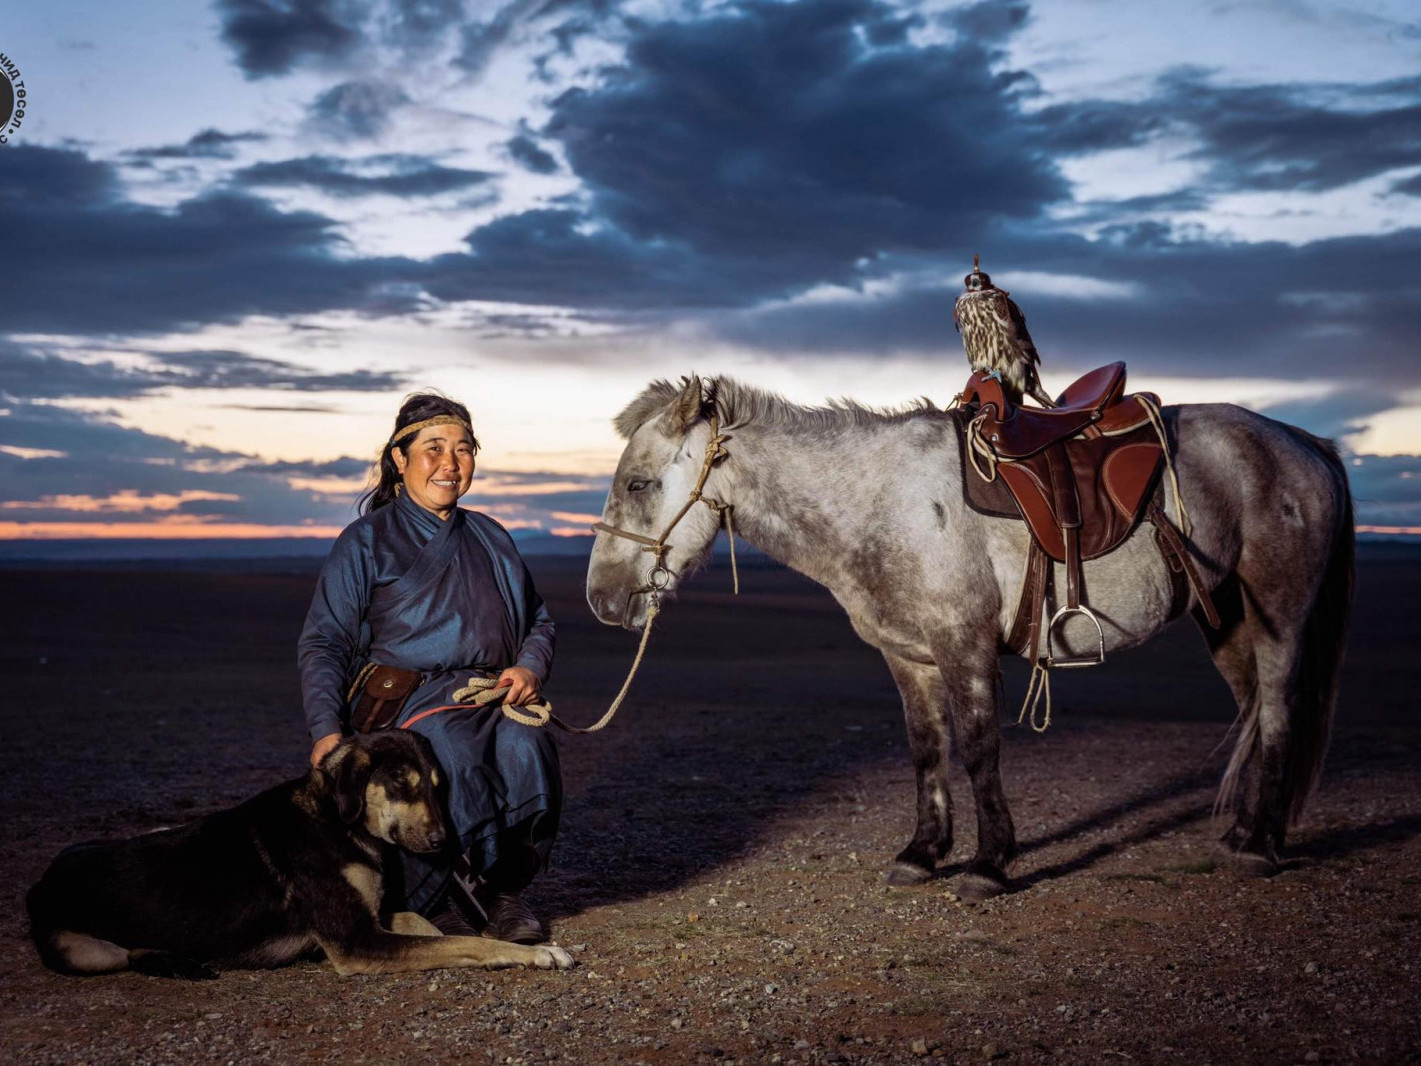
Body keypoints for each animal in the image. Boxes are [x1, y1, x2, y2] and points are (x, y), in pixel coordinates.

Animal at [26, 733, 571, 983]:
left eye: (438, 788)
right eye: (400, 784)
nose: (443, 841)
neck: (337, 821)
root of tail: (40, 882)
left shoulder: (370, 919)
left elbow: (427, 926)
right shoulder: (355, 942)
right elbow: (465, 944)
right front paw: (538, 953)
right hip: (85, 952)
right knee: (119, 955)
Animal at [585, 375, 1352, 903]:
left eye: (639, 483)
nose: (601, 599)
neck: (877, 504)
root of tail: (1303, 444)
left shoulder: (965, 648)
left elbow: (980, 749)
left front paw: (988, 865)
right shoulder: (909, 657)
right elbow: (928, 750)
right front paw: (921, 854)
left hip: (1278, 614)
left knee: (1278, 712)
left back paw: (1261, 846)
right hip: (1224, 619)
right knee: (1254, 710)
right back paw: (1241, 832)